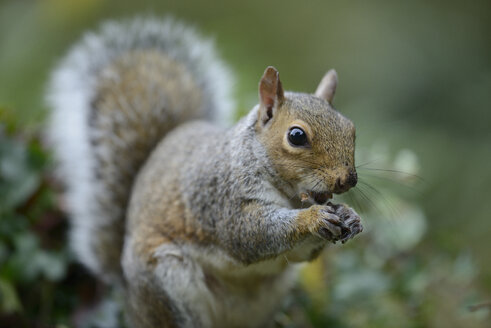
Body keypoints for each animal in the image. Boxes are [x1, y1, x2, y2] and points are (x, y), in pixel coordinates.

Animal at [47, 18, 362, 328]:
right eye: (296, 136)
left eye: (351, 129)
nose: (347, 179)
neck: (290, 195)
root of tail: (129, 295)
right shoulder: (220, 197)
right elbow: (251, 234)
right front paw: (313, 218)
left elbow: (300, 252)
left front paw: (350, 216)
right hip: (168, 282)